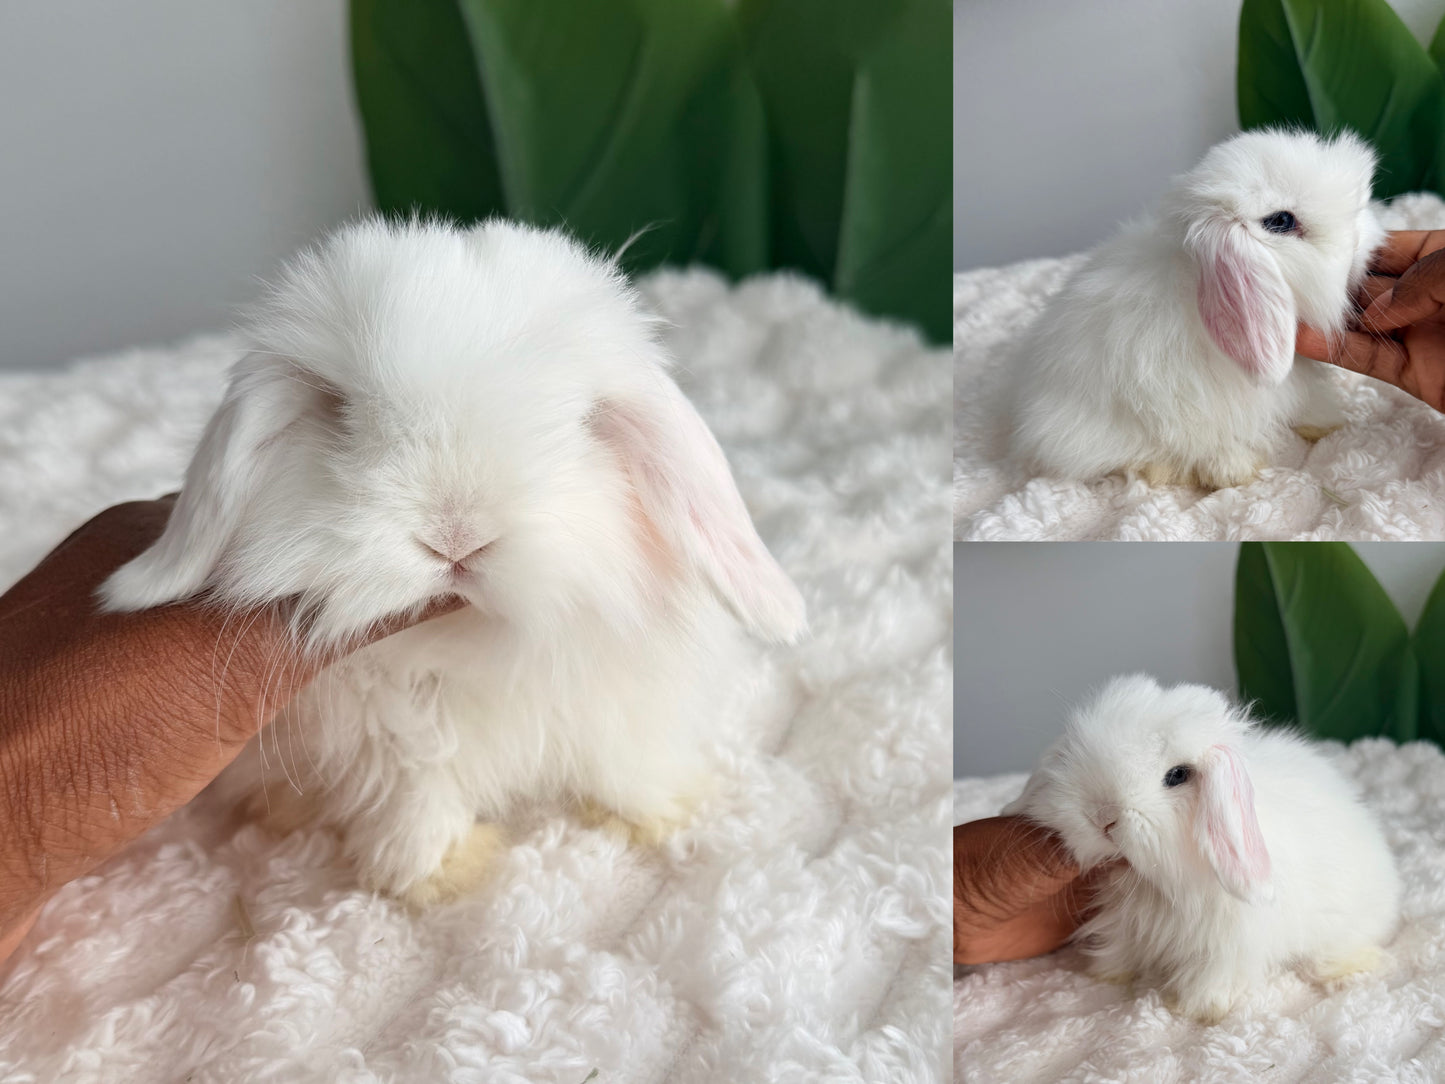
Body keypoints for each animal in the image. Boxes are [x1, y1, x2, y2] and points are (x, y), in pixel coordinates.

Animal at [98, 216, 807, 906]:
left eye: (578, 425)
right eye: (341, 415)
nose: (457, 538)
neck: (476, 637)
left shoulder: (617, 701)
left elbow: (623, 762)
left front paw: (663, 815)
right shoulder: (392, 738)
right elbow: (417, 798)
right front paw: (442, 875)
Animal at [1004, 675, 1401, 1023]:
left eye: (1177, 775)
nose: (1102, 817)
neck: (1159, 885)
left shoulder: (1229, 944)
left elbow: (1213, 976)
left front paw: (1196, 1008)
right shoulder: (1126, 924)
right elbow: (1120, 948)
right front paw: (1107, 974)